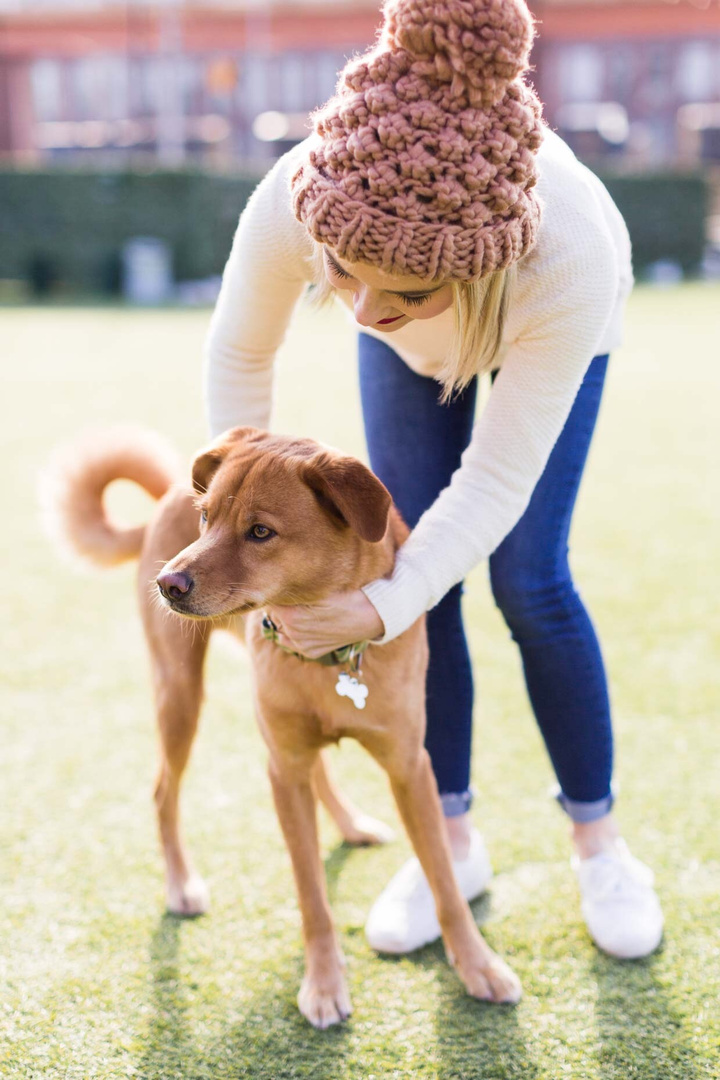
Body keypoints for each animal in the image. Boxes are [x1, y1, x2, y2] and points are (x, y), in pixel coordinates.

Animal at [43, 423, 518, 1028]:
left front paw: (479, 966)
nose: (167, 583)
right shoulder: (282, 773)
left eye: (261, 531)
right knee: (163, 792)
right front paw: (324, 982)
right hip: (181, 697)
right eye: (206, 518)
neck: (329, 655)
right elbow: (311, 894)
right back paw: (181, 885)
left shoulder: (410, 768)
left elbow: (446, 883)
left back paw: (351, 824)